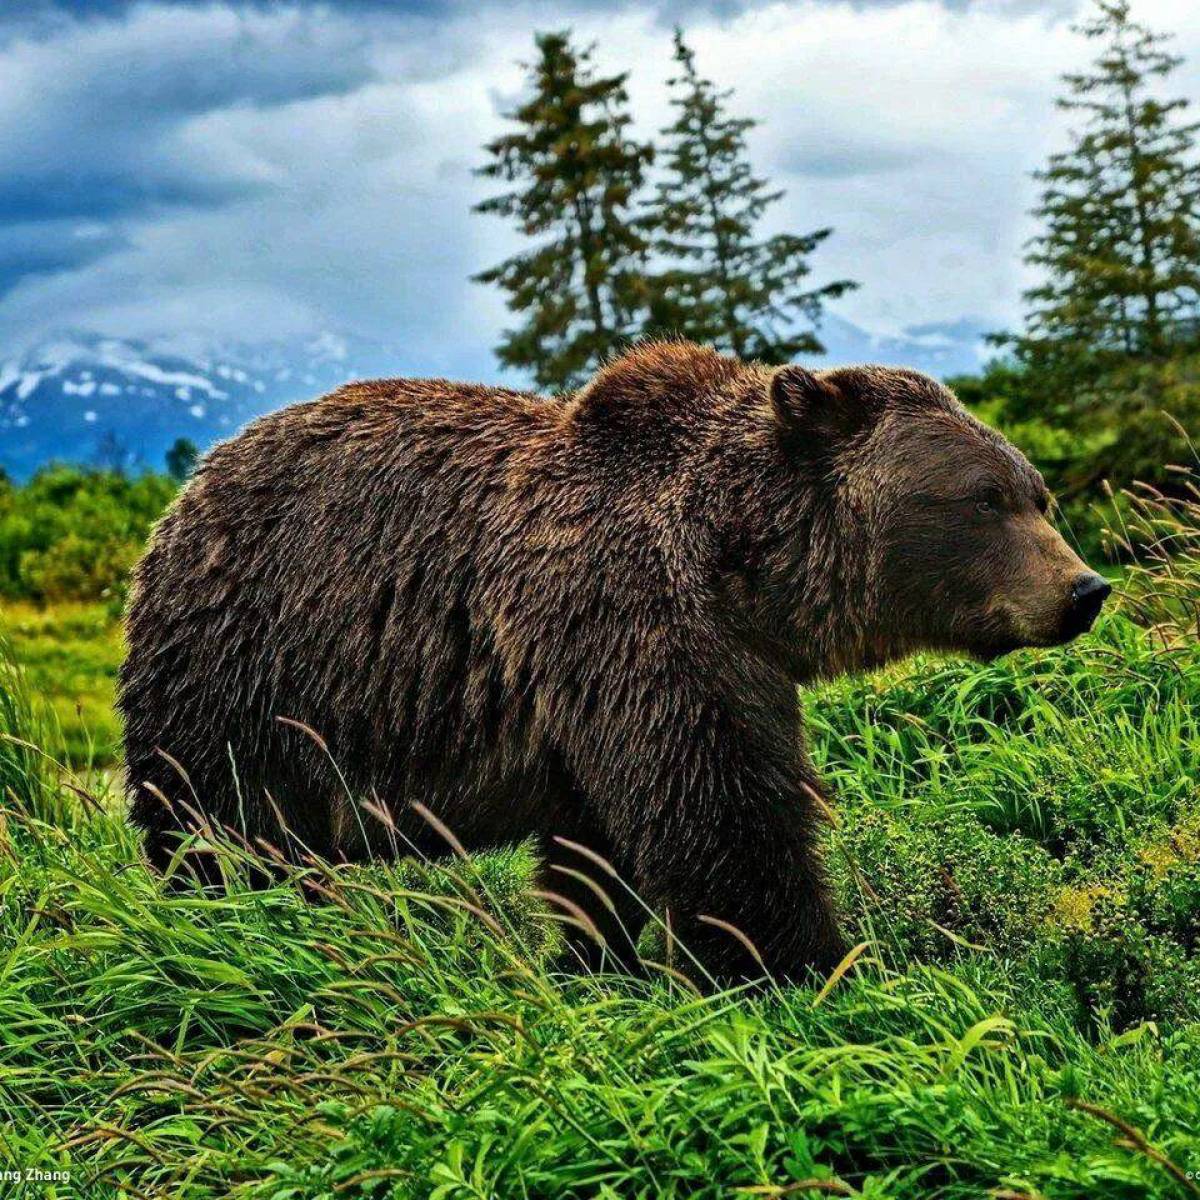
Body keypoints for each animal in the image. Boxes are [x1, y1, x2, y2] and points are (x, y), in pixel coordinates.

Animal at [117, 343, 1108, 979]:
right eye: (982, 498)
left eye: (1037, 493)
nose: (1084, 589)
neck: (742, 568)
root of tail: (182, 501)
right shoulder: (634, 624)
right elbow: (724, 817)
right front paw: (817, 965)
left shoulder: (632, 684)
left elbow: (598, 848)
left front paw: (599, 961)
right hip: (247, 672)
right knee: (215, 829)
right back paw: (241, 927)